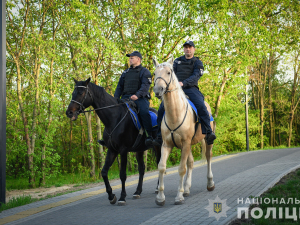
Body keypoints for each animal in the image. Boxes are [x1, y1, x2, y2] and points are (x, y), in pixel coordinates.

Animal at [152, 56, 216, 206]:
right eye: (155, 73)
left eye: (169, 72)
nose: (158, 90)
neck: (175, 113)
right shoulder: (166, 145)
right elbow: (162, 167)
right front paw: (160, 198)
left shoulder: (185, 143)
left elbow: (181, 169)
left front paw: (179, 197)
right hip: (187, 146)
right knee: (191, 162)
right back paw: (186, 188)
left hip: (205, 142)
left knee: (208, 157)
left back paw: (210, 183)